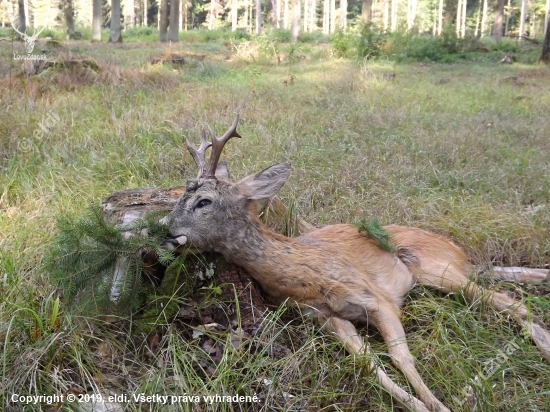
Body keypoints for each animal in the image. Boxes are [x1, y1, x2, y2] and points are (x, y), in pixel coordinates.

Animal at [165, 116, 550, 412]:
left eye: (203, 201)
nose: (167, 231)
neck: (303, 274)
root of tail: (459, 253)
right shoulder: (325, 318)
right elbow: (368, 363)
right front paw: (417, 405)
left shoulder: (376, 298)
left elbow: (401, 357)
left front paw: (437, 405)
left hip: (434, 267)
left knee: (508, 301)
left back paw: (544, 345)